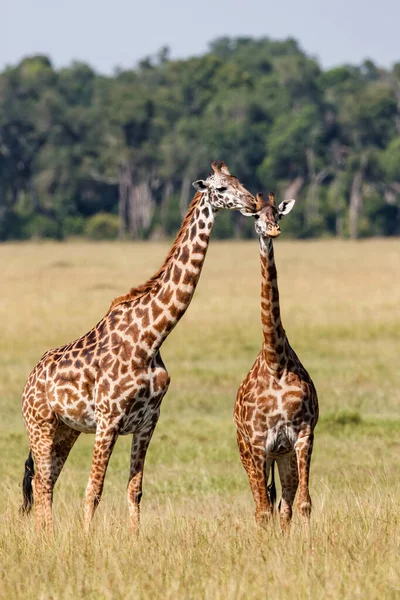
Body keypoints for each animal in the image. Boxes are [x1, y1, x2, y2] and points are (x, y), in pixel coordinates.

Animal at [20, 161, 256, 536]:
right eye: (220, 189)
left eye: (239, 182)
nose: (251, 203)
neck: (152, 337)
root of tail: (29, 380)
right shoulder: (108, 419)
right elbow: (94, 489)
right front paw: (87, 541)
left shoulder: (148, 421)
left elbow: (135, 489)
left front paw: (135, 538)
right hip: (39, 424)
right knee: (41, 483)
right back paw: (49, 537)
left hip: (66, 430)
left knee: (48, 482)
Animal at [233, 192, 318, 528]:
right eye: (256, 216)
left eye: (278, 215)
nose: (272, 231)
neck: (275, 360)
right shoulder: (258, 443)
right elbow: (262, 510)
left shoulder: (302, 435)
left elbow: (304, 504)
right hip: (246, 450)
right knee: (261, 506)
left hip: (281, 456)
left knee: (283, 503)